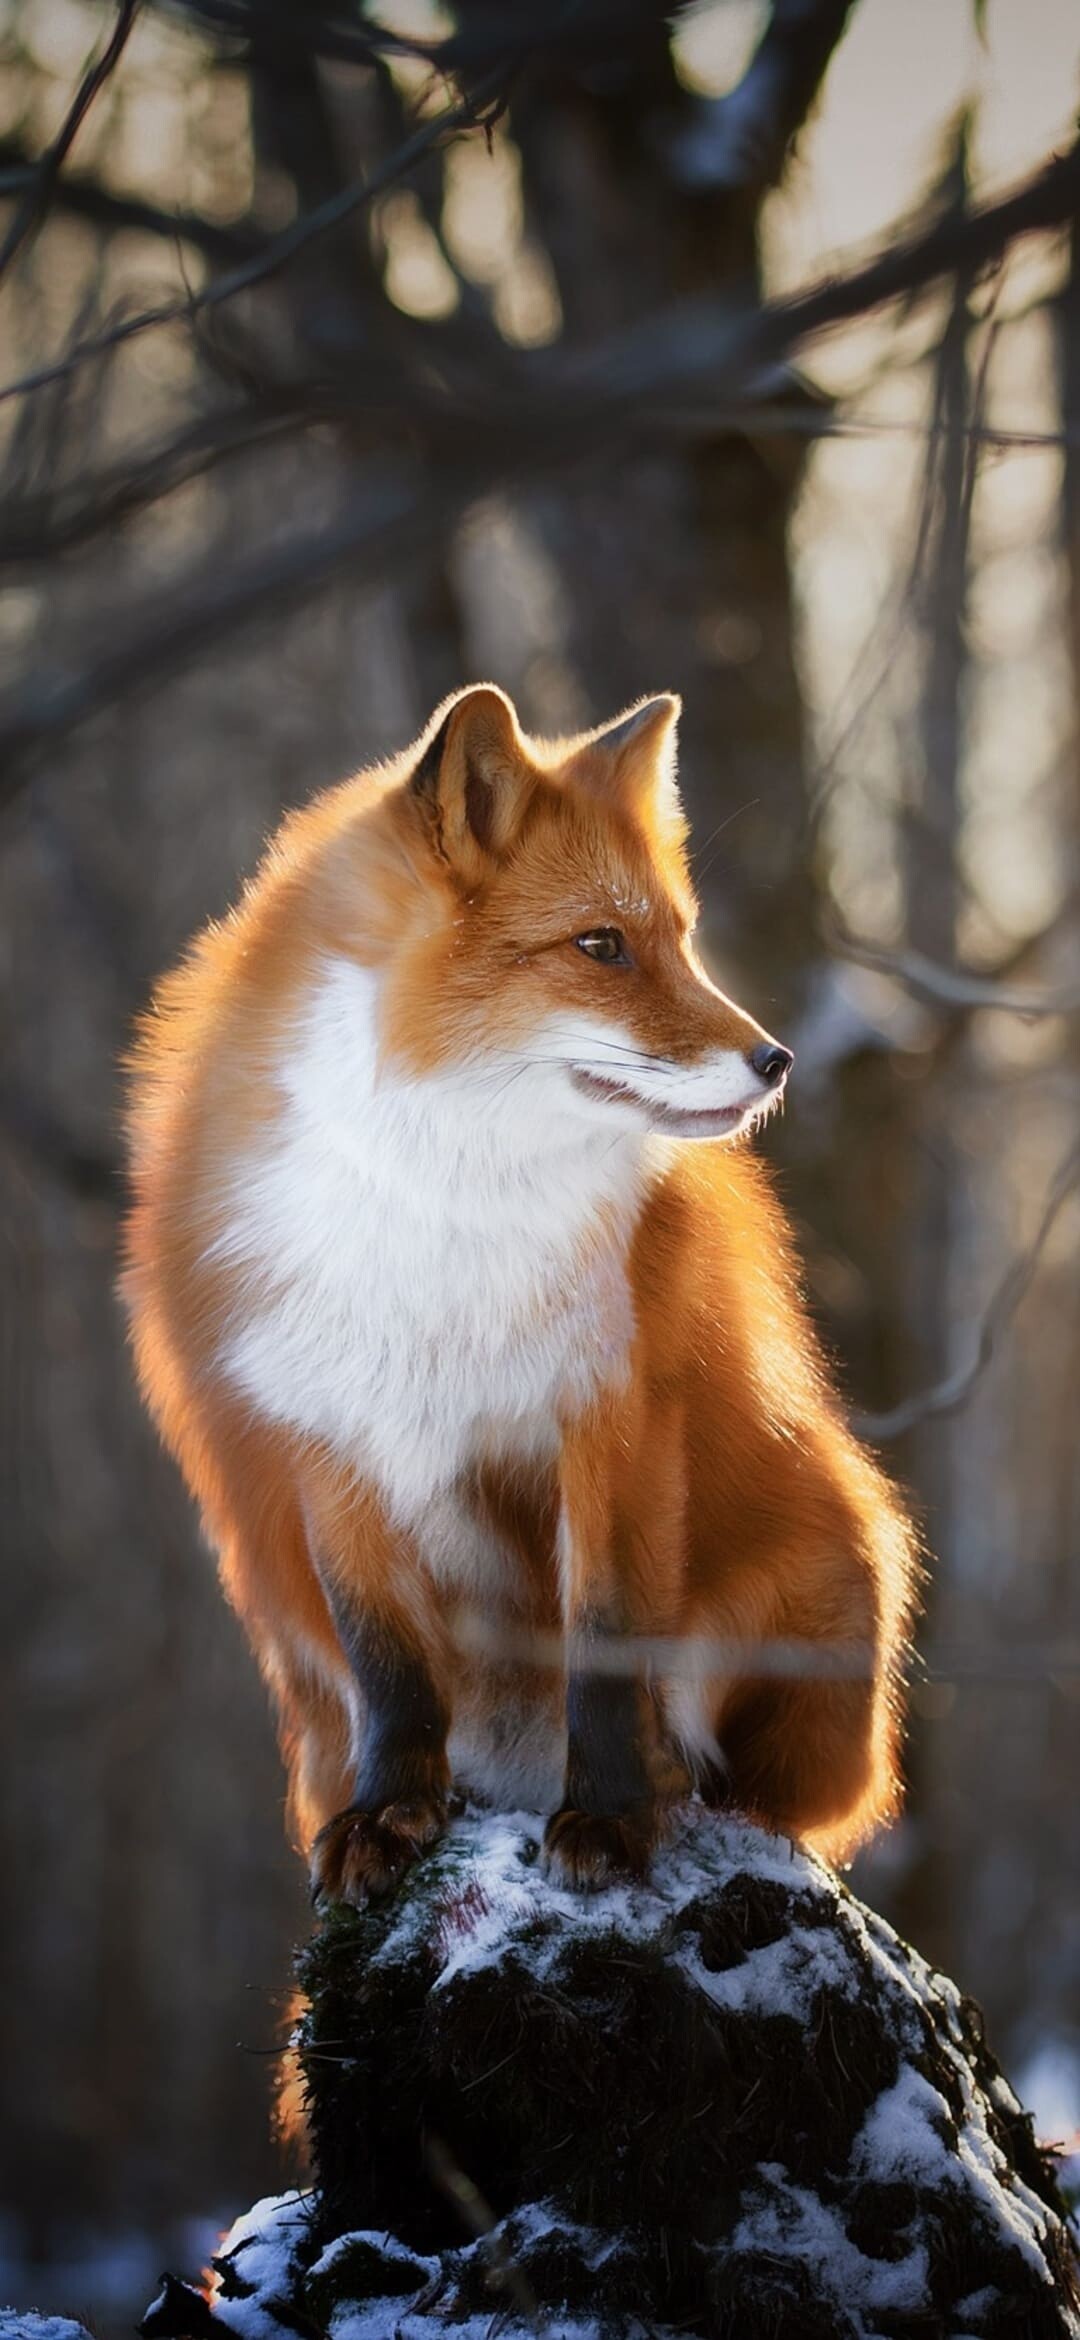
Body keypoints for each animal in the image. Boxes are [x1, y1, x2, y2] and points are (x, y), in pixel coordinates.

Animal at [123, 683, 918, 1901]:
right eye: (600, 945)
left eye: (680, 940)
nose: (778, 1060)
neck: (441, 1209)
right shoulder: (330, 1441)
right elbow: (391, 1667)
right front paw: (389, 1814)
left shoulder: (613, 1414)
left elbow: (608, 1647)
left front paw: (615, 1820)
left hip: (835, 1560)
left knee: (776, 1794)